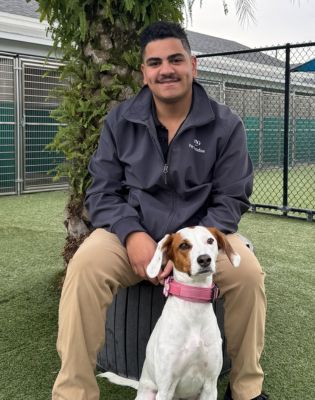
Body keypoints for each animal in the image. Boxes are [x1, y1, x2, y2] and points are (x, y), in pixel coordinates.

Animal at [135, 227, 241, 398]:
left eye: (210, 240)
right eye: (183, 245)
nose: (204, 259)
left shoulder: (210, 386)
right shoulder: (165, 389)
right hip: (149, 394)